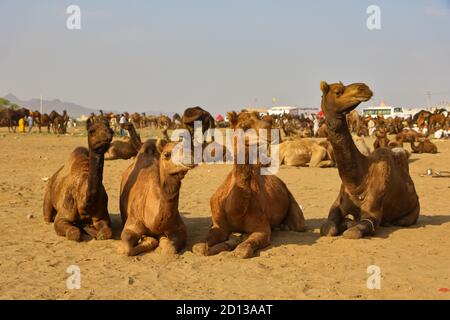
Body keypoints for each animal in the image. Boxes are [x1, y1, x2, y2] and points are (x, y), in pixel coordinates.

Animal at [192, 111, 308, 258]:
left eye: (267, 121)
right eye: (243, 126)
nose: (269, 129)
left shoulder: (262, 227)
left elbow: (243, 250)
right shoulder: (219, 226)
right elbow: (199, 247)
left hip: (293, 204)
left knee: (299, 224)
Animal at [318, 81, 420, 239]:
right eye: (338, 91)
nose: (364, 88)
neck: (358, 182)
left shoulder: (372, 212)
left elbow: (354, 231)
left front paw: (350, 226)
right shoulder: (337, 206)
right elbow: (328, 228)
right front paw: (345, 223)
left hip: (413, 211)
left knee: (402, 220)